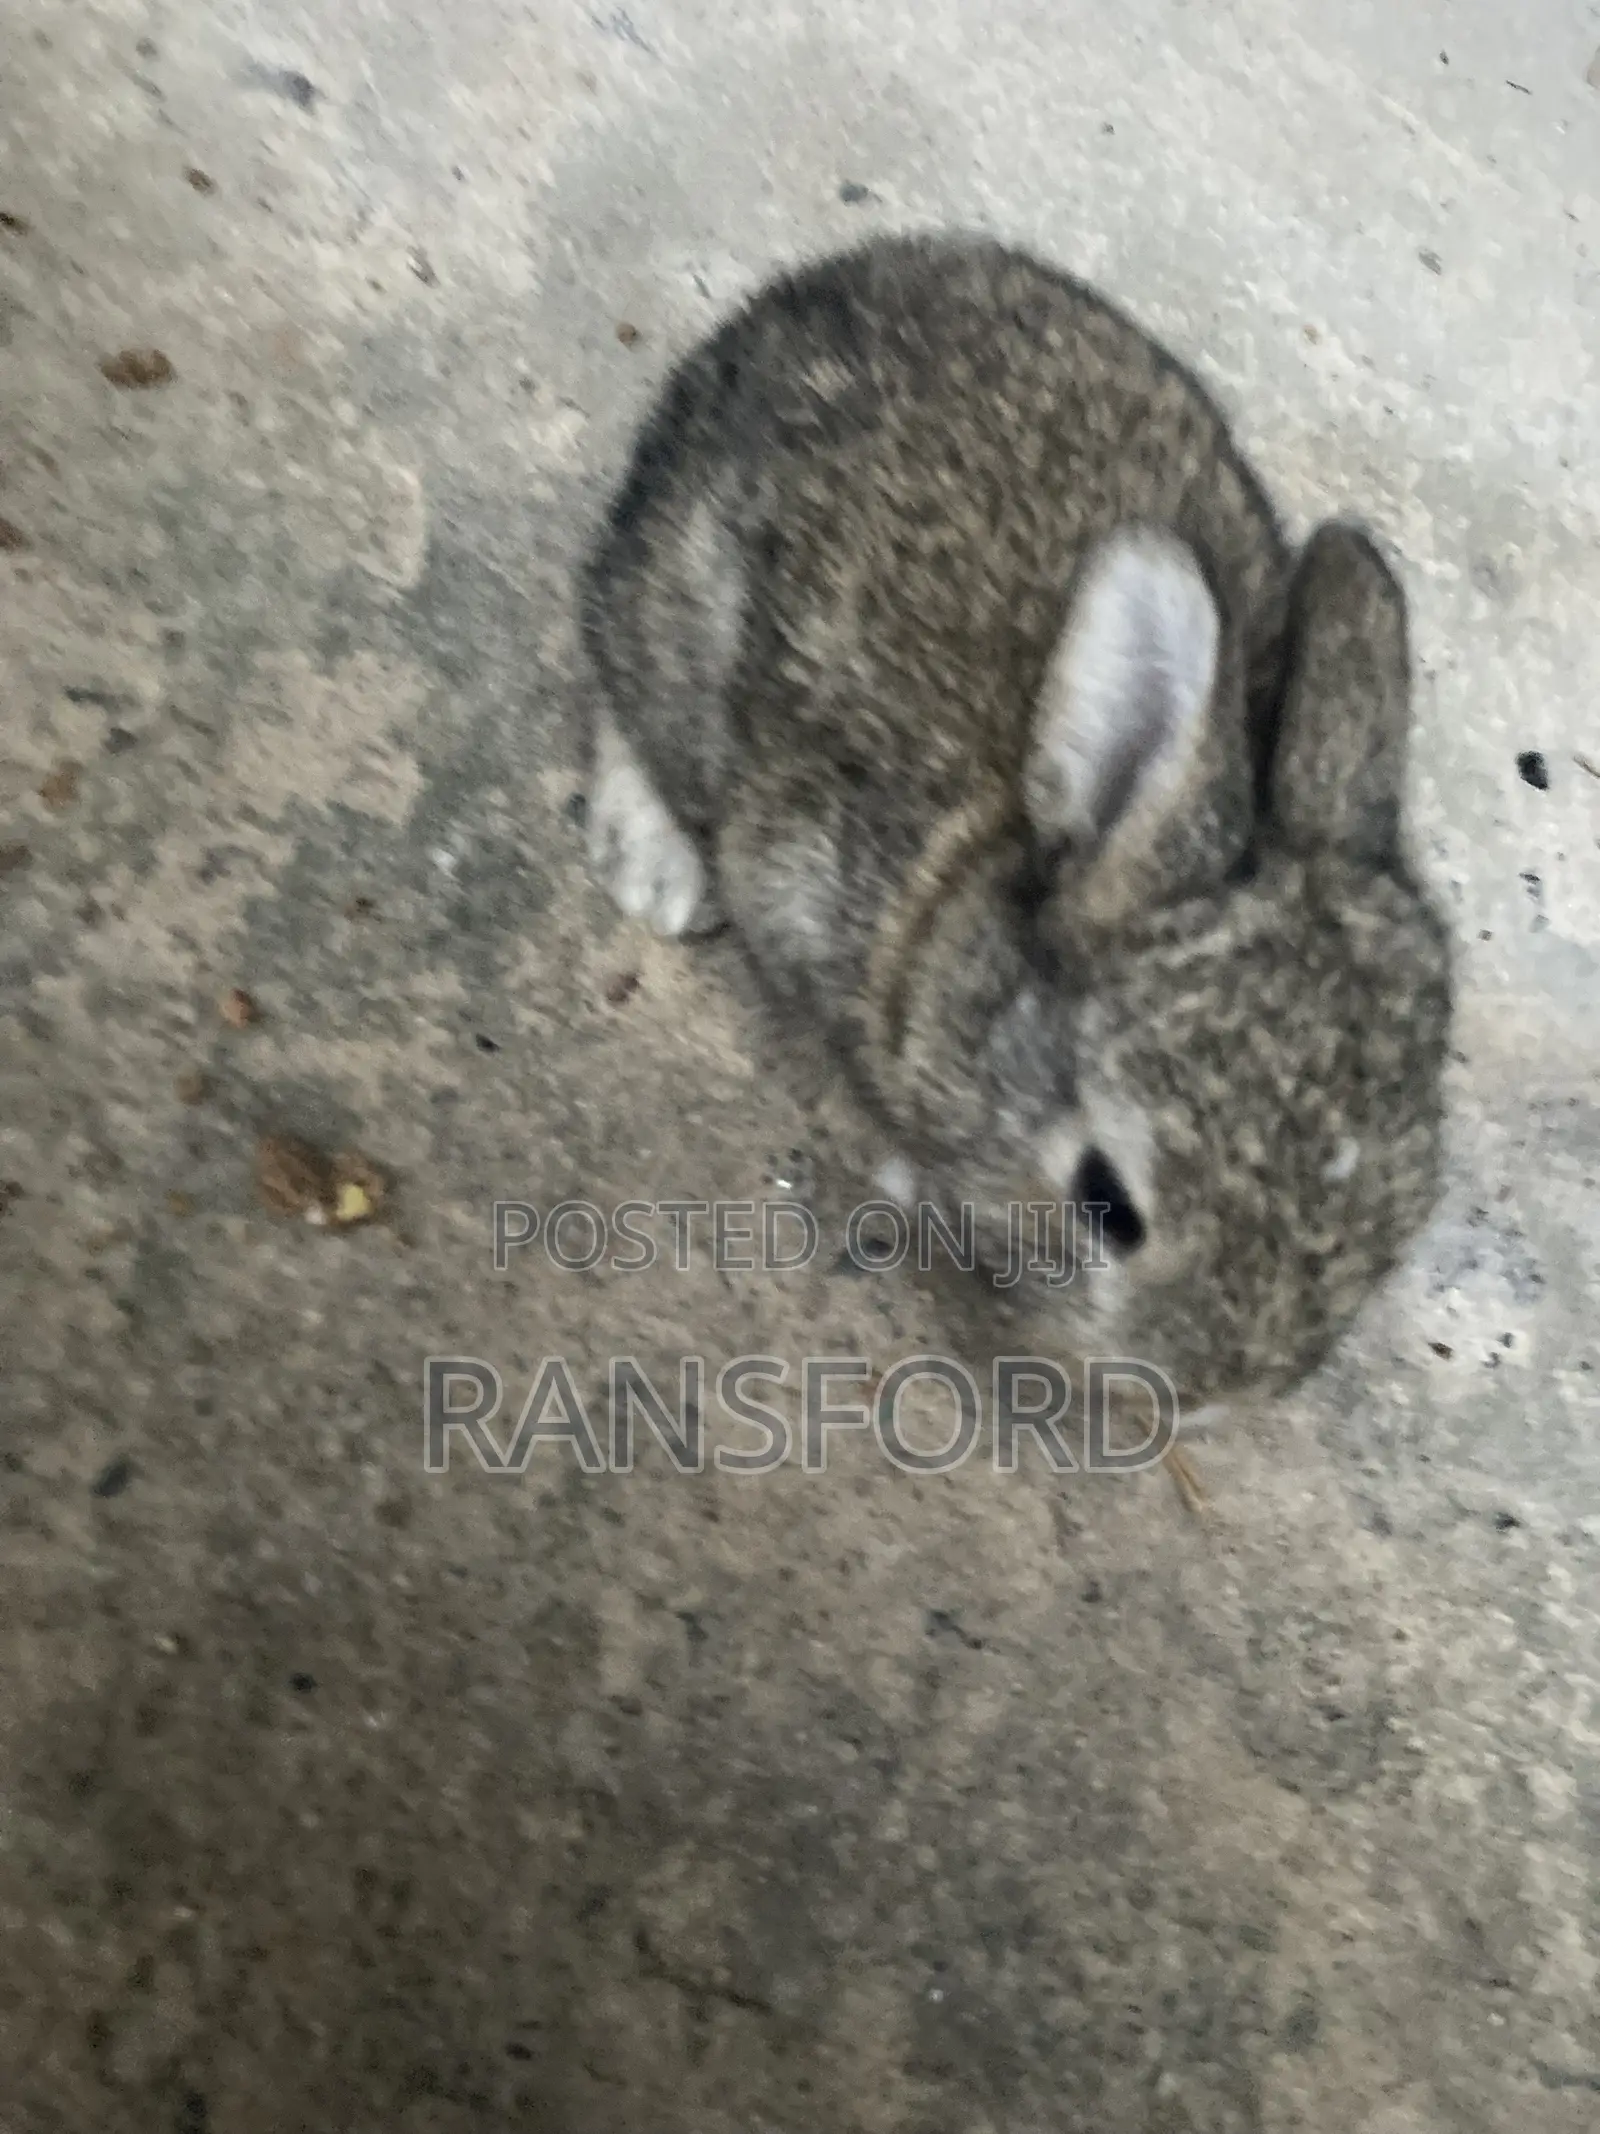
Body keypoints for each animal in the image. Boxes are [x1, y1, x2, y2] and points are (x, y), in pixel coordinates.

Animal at [579, 232, 1452, 1416]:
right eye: (1107, 1203)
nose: (1212, 1388)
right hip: (672, 604)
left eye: (1394, 1233)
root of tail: (805, 294)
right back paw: (658, 863)